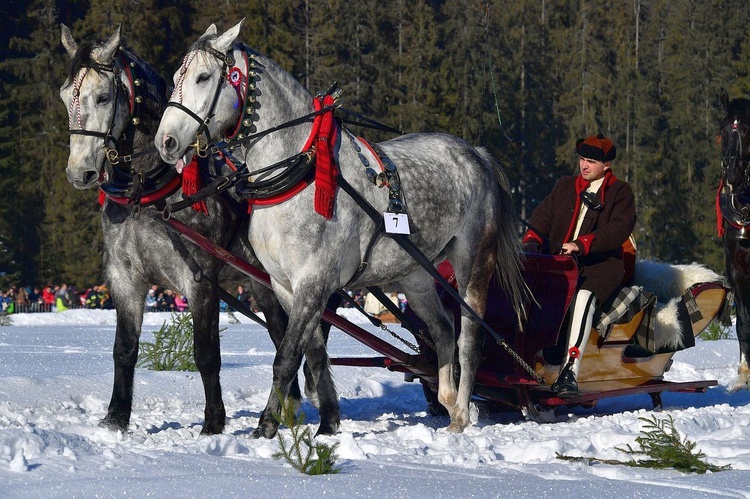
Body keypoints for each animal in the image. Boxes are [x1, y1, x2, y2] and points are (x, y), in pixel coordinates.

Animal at [60, 25, 340, 436]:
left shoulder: (200, 280)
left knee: (300, 334)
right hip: (267, 282)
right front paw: (115, 418)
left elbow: (206, 353)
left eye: (103, 96)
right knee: (286, 335)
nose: (79, 172)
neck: (153, 192)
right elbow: (124, 350)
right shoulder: (124, 278)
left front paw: (213, 422)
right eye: (66, 95)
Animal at [155, 19, 524, 438]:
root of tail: (477, 153)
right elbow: (313, 352)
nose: (166, 142)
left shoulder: (314, 281)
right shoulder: (286, 285)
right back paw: (447, 403)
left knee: (469, 336)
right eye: (175, 77)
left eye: (203, 77)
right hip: (415, 274)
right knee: (443, 330)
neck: (296, 171)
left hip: (473, 260)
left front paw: (266, 426)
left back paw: (461, 411)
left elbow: (287, 356)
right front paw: (328, 421)